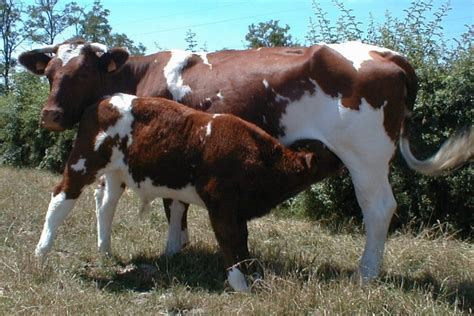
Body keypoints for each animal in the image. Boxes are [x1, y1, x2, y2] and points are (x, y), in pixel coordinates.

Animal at [36, 93, 334, 292]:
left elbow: (243, 240)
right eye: (327, 151)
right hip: (82, 163)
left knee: (106, 205)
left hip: (115, 174)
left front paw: (254, 274)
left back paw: (105, 251)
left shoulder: (237, 210)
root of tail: (102, 100)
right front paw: (240, 285)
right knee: (61, 197)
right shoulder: (221, 204)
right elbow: (230, 239)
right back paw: (41, 251)